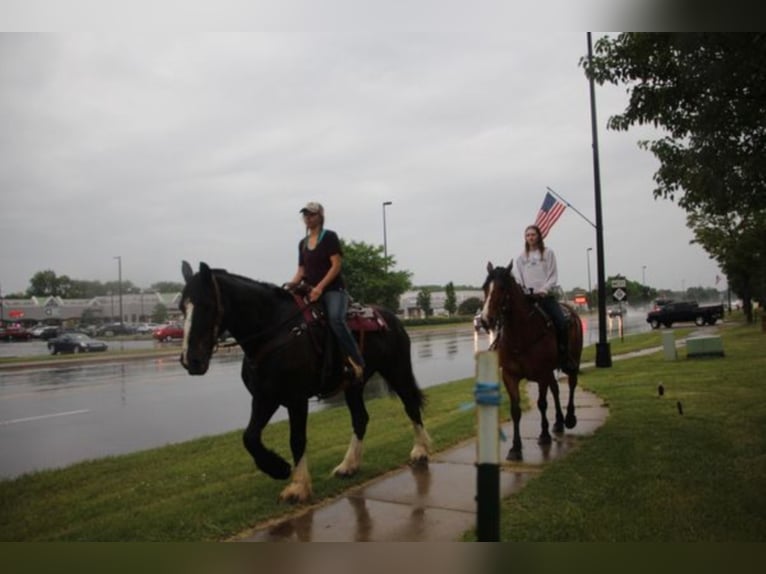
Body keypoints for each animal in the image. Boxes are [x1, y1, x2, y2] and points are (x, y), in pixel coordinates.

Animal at [178, 262, 432, 504]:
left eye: (206, 305)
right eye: (181, 308)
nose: (191, 360)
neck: (276, 331)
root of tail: (390, 317)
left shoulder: (296, 399)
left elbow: (296, 440)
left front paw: (298, 487)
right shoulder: (265, 397)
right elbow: (250, 437)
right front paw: (278, 468)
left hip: (397, 370)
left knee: (410, 405)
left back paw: (420, 450)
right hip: (354, 385)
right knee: (360, 418)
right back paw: (349, 465)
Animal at [484, 260, 584, 464]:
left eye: (502, 287)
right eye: (484, 288)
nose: (484, 319)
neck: (521, 335)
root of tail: (571, 310)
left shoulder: (541, 374)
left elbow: (542, 403)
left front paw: (544, 435)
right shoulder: (510, 376)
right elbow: (515, 410)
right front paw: (515, 448)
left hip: (573, 361)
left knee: (571, 384)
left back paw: (569, 418)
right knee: (556, 389)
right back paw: (558, 422)